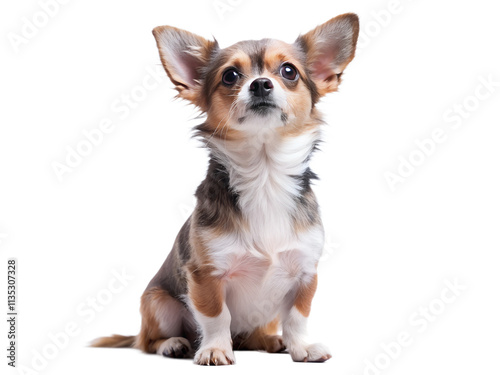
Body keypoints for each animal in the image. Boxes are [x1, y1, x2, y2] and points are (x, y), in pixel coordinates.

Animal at [92, 13, 360, 366]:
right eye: (230, 75)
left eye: (289, 71)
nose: (260, 84)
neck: (264, 176)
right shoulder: (205, 274)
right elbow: (217, 316)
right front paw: (216, 349)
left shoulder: (305, 273)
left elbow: (297, 316)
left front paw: (301, 347)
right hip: (159, 303)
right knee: (148, 341)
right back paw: (173, 344)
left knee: (252, 335)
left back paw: (270, 340)